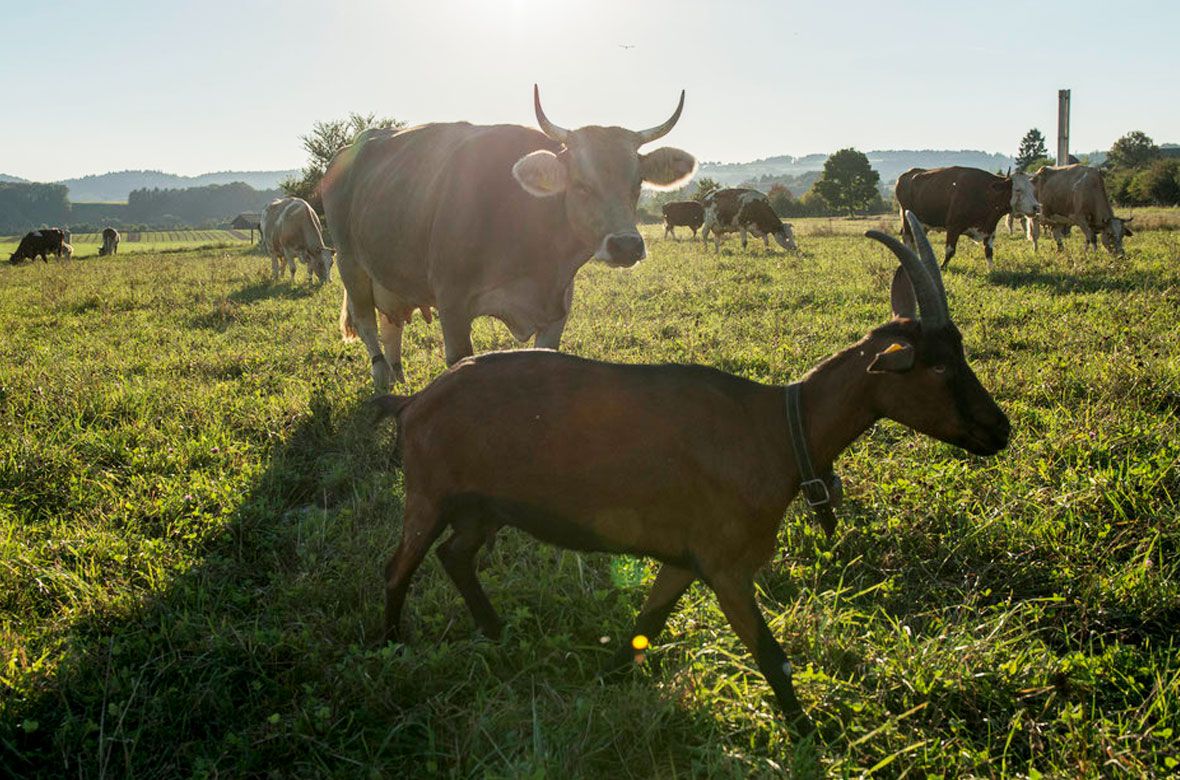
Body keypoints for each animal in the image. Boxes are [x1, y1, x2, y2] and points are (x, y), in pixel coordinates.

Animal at [322, 85, 697, 390]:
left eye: (638, 182)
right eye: (580, 183)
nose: (626, 245)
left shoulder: (556, 311)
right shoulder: (453, 307)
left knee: (391, 326)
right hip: (350, 263)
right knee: (367, 324)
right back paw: (382, 379)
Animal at [895, 166, 1039, 269]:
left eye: (1032, 189)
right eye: (1018, 190)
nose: (1037, 207)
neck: (986, 193)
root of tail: (908, 174)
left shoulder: (990, 229)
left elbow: (989, 252)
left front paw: (992, 270)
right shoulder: (953, 227)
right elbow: (950, 251)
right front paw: (942, 268)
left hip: (921, 223)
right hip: (907, 219)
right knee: (908, 239)